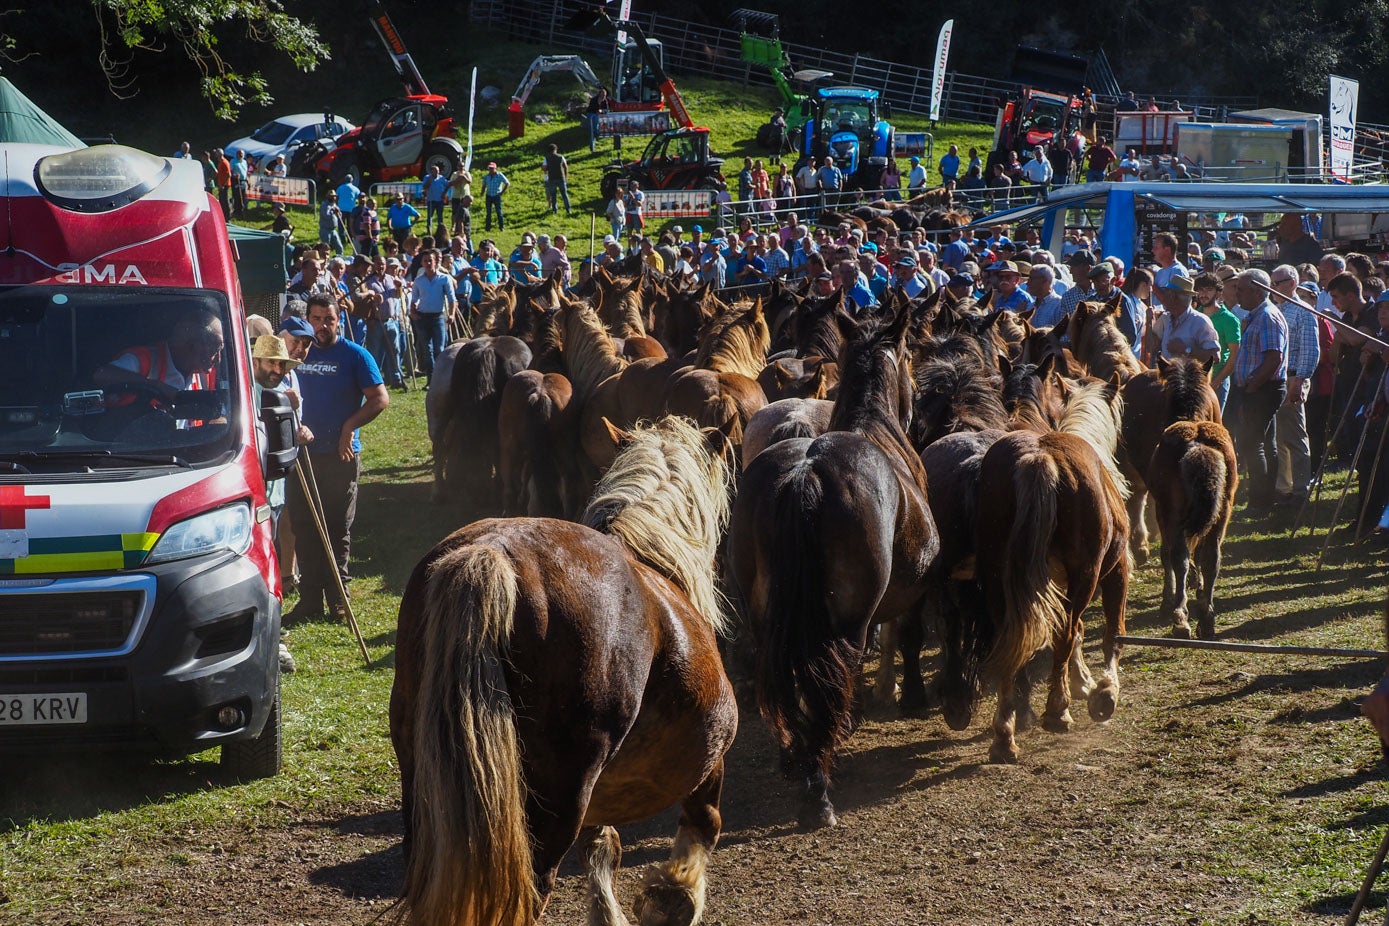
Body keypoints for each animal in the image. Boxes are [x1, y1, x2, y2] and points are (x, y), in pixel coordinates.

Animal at [391, 419, 738, 926]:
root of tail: (491, 553)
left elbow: (601, 848)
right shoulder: (709, 760)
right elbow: (702, 828)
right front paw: (675, 894)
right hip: (553, 806)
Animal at [722, 305, 938, 832]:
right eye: (910, 356)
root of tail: (805, 474)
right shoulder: (916, 588)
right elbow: (909, 635)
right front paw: (911, 695)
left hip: (768, 615)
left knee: (782, 678)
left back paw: (795, 755)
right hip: (845, 621)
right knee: (828, 677)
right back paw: (817, 789)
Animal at [1144, 422, 1233, 644]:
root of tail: (1196, 442)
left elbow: (1167, 556)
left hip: (1170, 515)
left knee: (1179, 558)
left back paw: (1180, 620)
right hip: (1221, 514)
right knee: (1211, 559)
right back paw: (1206, 621)